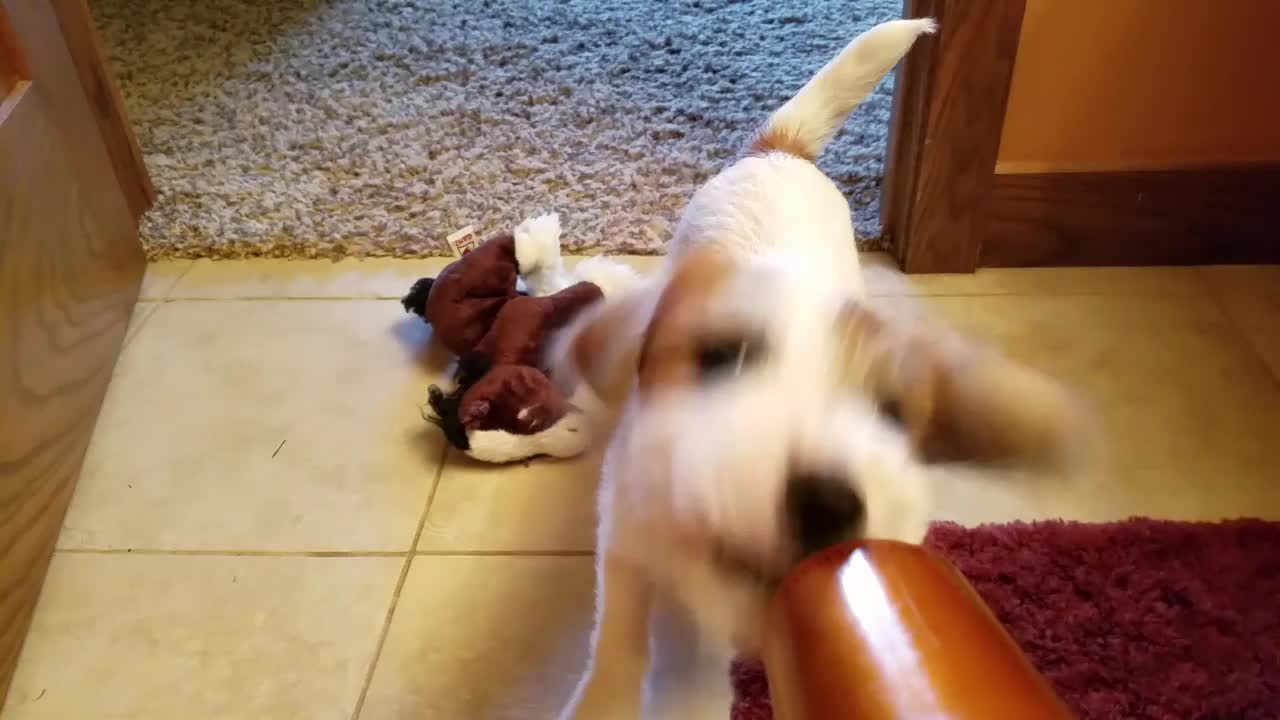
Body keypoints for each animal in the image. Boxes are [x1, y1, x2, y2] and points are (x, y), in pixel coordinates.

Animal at [547, 18, 1090, 717]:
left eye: (892, 412)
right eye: (721, 358)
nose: (829, 501)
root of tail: (784, 150)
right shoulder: (624, 541)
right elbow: (616, 639)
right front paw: (602, 698)